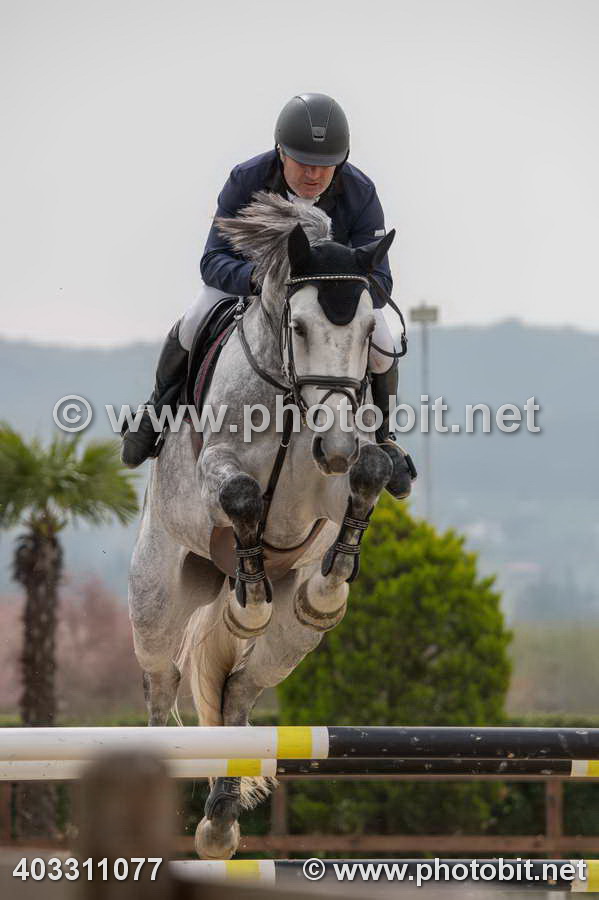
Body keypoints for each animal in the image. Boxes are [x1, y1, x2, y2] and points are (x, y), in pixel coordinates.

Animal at [128, 191, 400, 859]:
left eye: (366, 335)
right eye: (298, 327)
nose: (333, 445)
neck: (293, 398)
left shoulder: (332, 485)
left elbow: (373, 470)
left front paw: (334, 576)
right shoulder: (216, 472)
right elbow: (243, 496)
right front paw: (248, 600)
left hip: (294, 638)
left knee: (239, 691)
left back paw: (221, 818)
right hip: (156, 598)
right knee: (161, 685)